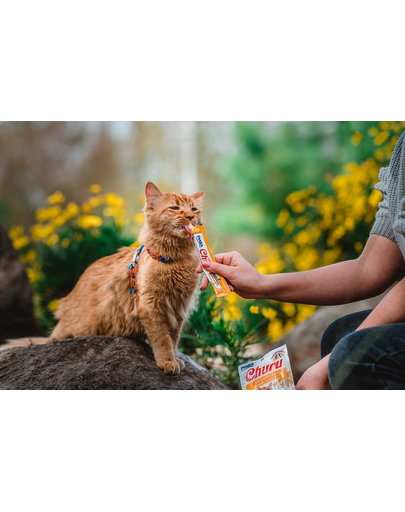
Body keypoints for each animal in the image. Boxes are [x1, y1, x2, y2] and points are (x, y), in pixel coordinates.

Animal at [2, 182, 204, 374]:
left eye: (194, 209)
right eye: (175, 208)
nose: (189, 216)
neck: (174, 260)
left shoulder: (179, 308)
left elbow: (174, 339)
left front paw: (175, 359)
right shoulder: (152, 305)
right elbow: (162, 339)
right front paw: (167, 361)